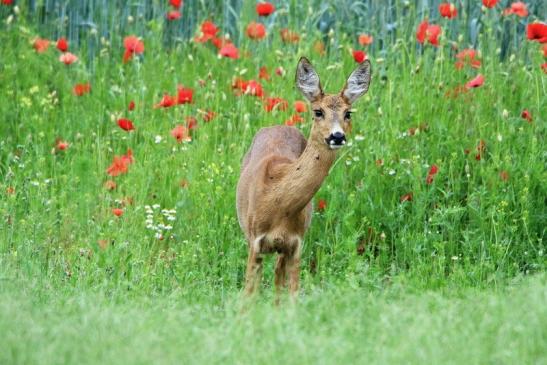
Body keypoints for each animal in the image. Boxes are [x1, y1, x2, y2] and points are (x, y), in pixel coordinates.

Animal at [237, 56, 372, 296]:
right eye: (318, 112)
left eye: (348, 113)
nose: (337, 136)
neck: (278, 205)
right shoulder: (255, 241)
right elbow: (248, 295)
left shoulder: (297, 244)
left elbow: (292, 295)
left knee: (277, 283)